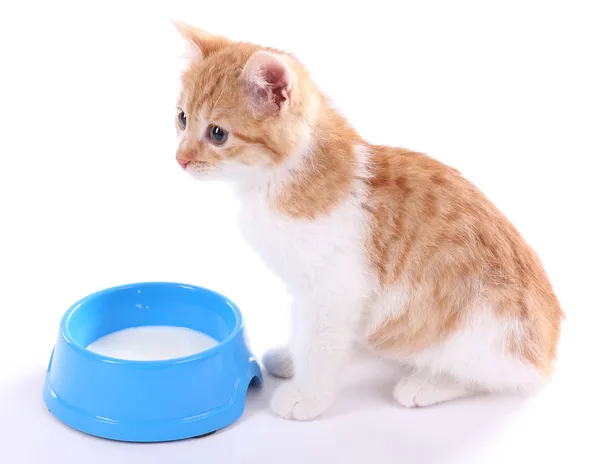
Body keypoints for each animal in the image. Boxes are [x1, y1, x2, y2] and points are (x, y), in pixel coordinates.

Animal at [172, 21, 564, 420]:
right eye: (182, 118)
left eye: (217, 133)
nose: (180, 159)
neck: (275, 183)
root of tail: (547, 352)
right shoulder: (308, 288)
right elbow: (305, 329)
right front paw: (295, 358)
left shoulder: (336, 287)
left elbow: (321, 341)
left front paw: (306, 394)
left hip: (480, 328)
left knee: (495, 378)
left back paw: (427, 383)